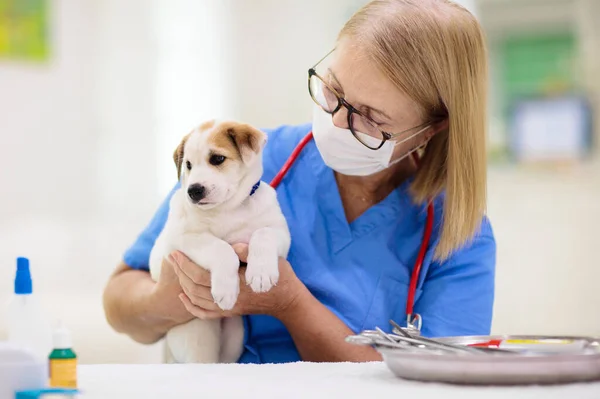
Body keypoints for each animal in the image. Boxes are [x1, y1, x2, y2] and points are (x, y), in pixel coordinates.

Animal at [149, 120, 290, 364]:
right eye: (188, 165)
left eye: (217, 159)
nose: (193, 190)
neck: (227, 209)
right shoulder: (183, 238)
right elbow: (222, 248)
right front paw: (226, 287)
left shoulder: (280, 232)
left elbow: (263, 234)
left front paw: (261, 273)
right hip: (197, 333)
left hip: (234, 336)